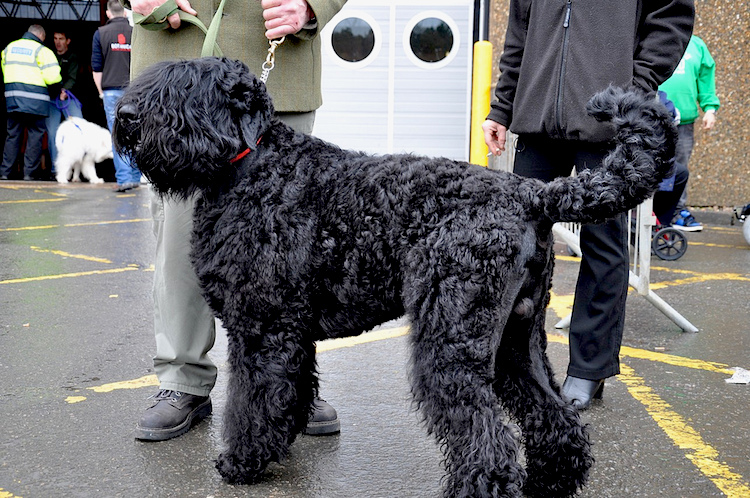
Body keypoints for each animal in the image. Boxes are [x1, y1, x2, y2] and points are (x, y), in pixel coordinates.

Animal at [114, 57, 680, 494]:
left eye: (186, 86)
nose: (124, 115)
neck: (255, 165)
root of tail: (532, 194)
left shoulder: (262, 328)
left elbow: (253, 399)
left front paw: (243, 461)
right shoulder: (292, 331)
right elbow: (290, 389)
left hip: (451, 342)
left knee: (486, 438)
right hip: (516, 341)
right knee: (554, 418)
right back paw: (552, 482)